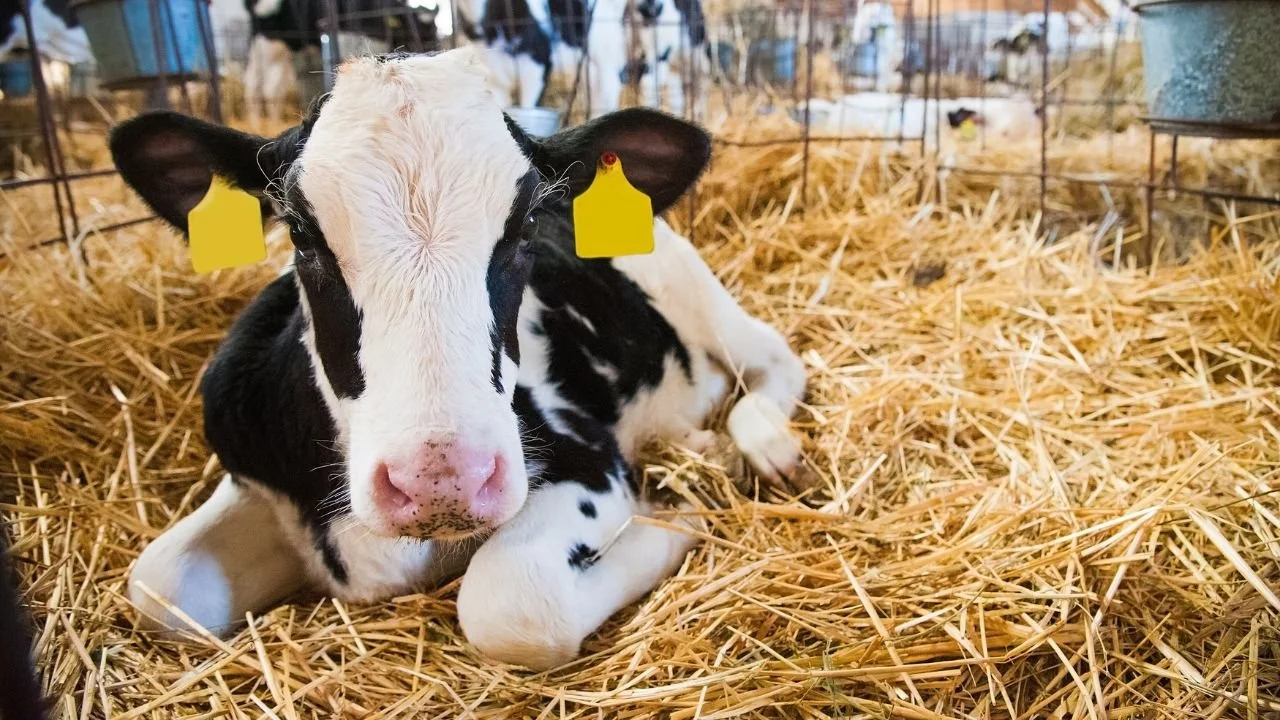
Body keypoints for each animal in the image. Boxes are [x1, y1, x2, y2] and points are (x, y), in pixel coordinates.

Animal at [109, 47, 807, 671]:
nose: (439, 480)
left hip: (696, 290)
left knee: (774, 359)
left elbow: (511, 600)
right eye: (301, 235)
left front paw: (677, 518)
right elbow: (158, 586)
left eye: (528, 225)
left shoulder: (587, 458)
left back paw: (761, 444)